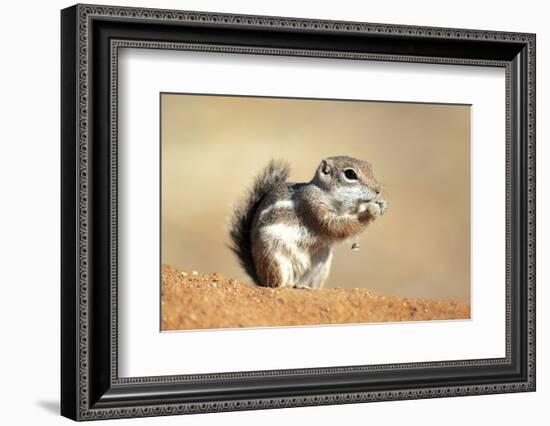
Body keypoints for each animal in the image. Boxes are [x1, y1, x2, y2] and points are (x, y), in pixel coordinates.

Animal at [229, 156, 388, 290]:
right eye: (350, 174)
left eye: (370, 167)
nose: (378, 190)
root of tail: (260, 278)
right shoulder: (312, 205)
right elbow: (336, 227)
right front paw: (371, 211)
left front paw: (382, 205)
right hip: (274, 258)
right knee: (277, 283)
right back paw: (287, 285)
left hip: (321, 266)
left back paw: (305, 287)